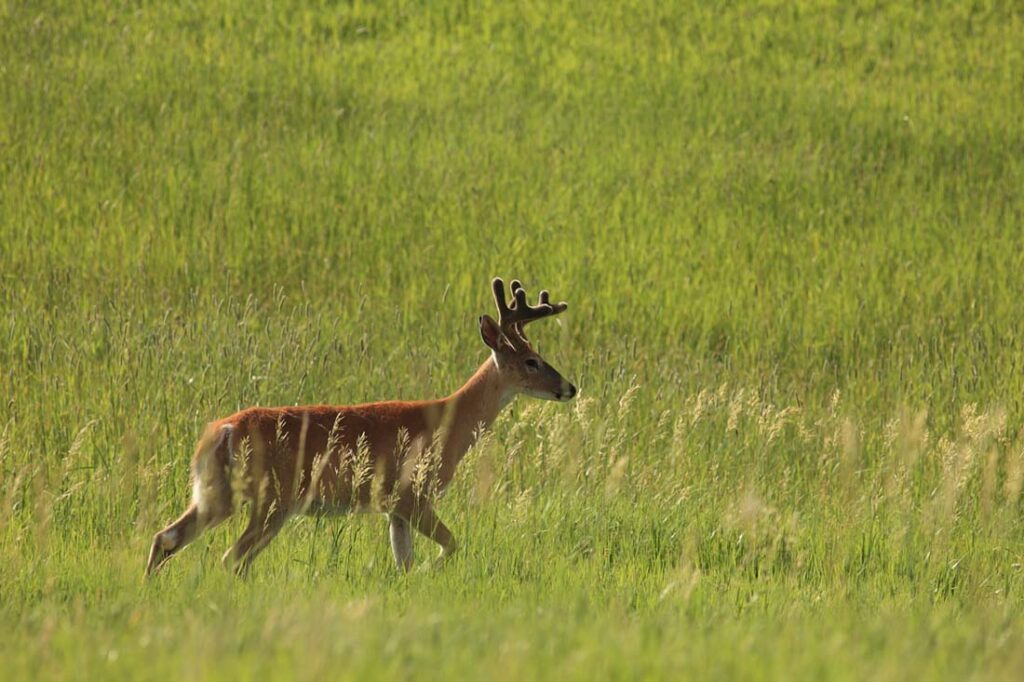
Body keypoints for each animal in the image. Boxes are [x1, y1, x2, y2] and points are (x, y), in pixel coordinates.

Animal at [144, 276, 577, 573]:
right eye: (531, 361)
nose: (569, 387)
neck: (448, 421)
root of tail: (222, 432)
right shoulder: (413, 494)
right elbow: (452, 545)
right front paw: (429, 570)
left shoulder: (394, 508)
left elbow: (404, 562)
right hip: (274, 496)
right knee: (232, 556)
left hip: (215, 491)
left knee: (167, 537)